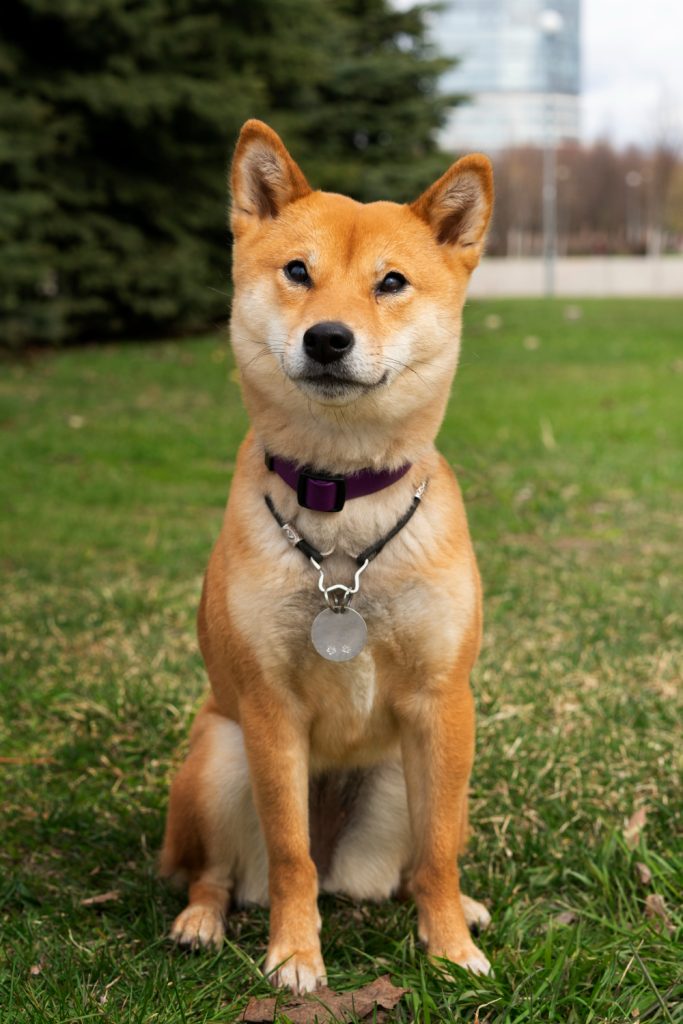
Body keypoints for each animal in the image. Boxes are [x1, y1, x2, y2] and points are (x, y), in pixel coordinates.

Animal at [162, 117, 493, 991]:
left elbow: (438, 852)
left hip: (409, 780)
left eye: (391, 283)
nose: (327, 338)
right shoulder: (269, 711)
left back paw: (455, 905)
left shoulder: (442, 703)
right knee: (217, 872)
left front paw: (449, 945)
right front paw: (294, 954)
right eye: (297, 272)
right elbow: (289, 857)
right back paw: (199, 922)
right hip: (220, 756)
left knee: (415, 862)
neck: (343, 515)